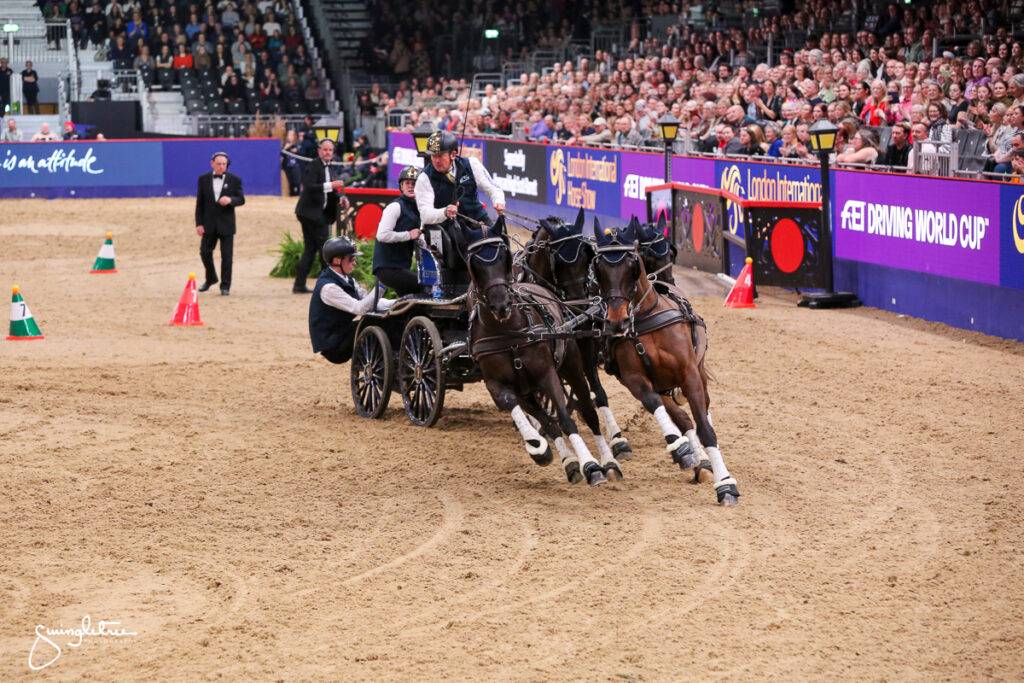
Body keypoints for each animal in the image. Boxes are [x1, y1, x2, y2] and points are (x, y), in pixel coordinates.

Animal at [459, 216, 621, 486]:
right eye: (474, 264)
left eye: (503, 256)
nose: (501, 304)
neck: (508, 332)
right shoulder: (496, 384)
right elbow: (516, 407)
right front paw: (537, 446)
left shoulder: (550, 372)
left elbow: (569, 415)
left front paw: (592, 463)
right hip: (528, 389)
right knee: (547, 419)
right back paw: (567, 460)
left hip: (571, 366)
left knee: (588, 411)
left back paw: (608, 461)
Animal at [517, 207, 634, 462]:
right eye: (557, 260)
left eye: (586, 255)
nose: (581, 303)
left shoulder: (584, 342)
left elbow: (597, 391)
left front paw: (618, 439)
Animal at [591, 217, 740, 506]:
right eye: (598, 267)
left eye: (632, 264)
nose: (617, 321)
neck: (647, 320)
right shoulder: (635, 379)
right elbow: (658, 407)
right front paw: (681, 449)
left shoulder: (689, 374)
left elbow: (705, 429)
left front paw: (726, 484)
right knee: (681, 417)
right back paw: (696, 459)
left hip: (698, 373)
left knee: (702, 411)